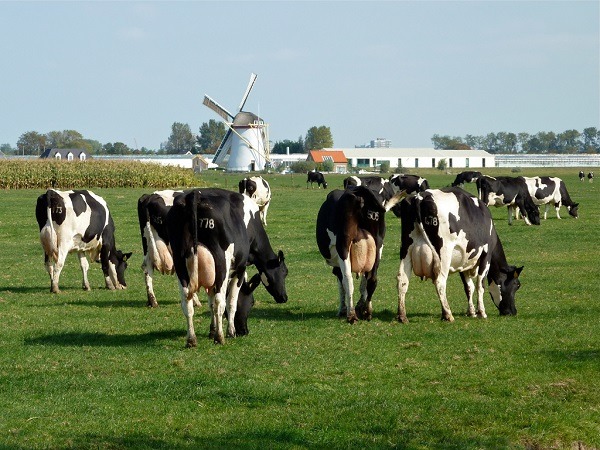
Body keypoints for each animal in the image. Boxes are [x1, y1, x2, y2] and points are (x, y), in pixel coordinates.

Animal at [166, 188, 288, 346]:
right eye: (284, 272)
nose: (284, 297)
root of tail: (195, 195)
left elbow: (211, 303)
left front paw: (212, 330)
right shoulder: (240, 269)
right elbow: (231, 302)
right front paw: (230, 331)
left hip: (180, 264)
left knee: (187, 302)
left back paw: (191, 339)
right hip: (221, 263)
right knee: (220, 301)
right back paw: (220, 337)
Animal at [316, 186, 406, 324]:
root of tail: (359, 189)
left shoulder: (338, 266)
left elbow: (341, 285)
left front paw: (342, 309)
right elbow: (363, 282)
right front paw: (361, 305)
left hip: (343, 246)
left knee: (348, 280)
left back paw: (351, 315)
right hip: (378, 244)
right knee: (372, 279)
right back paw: (367, 311)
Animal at [396, 187, 524, 324]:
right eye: (516, 285)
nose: (513, 312)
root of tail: (420, 197)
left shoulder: (464, 261)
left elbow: (468, 287)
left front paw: (471, 312)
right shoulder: (486, 255)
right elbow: (480, 285)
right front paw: (481, 312)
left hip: (406, 250)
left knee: (402, 280)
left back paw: (402, 316)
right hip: (444, 253)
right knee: (440, 281)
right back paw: (448, 315)